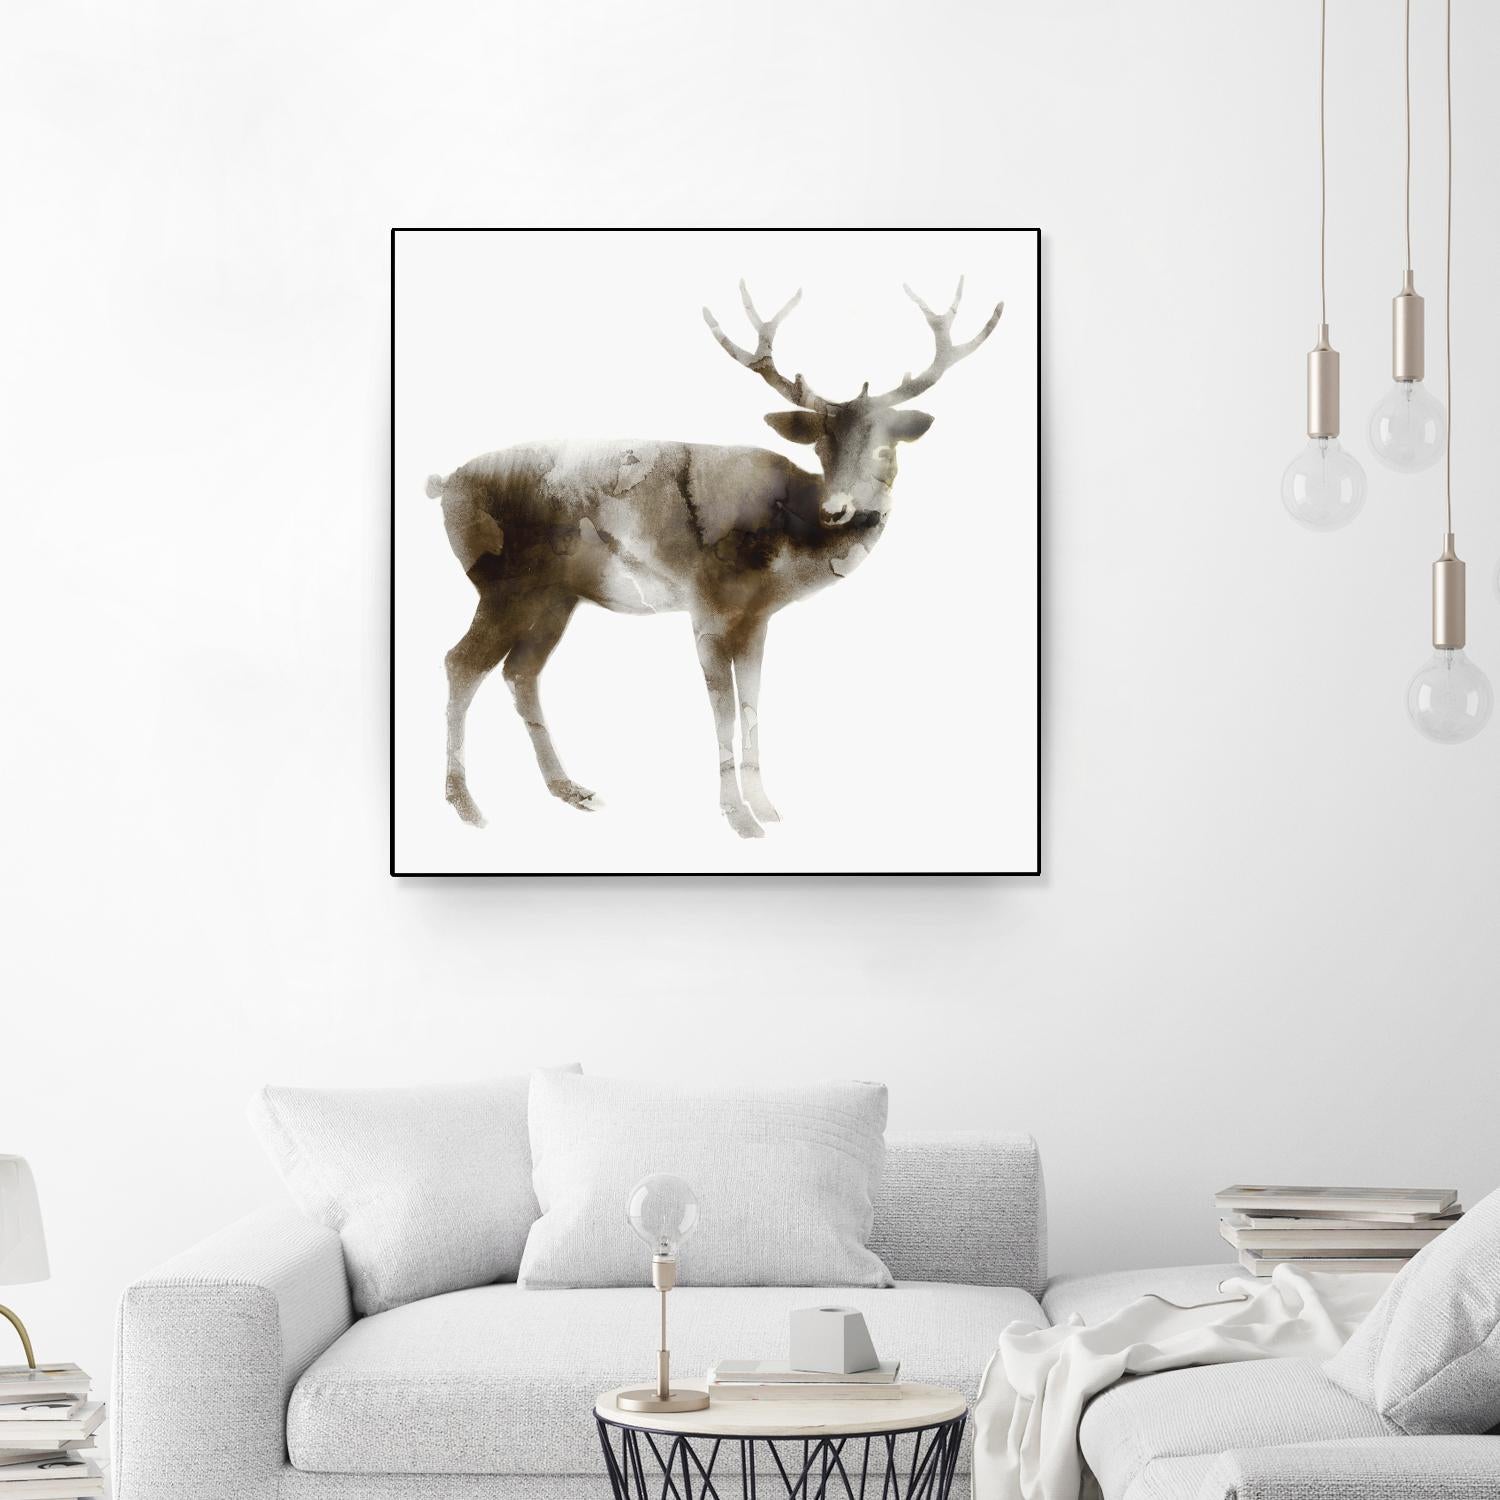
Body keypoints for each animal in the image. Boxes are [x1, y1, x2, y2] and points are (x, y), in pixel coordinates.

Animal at [427, 278, 1003, 839]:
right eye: (820, 446)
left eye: (886, 447)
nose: (838, 509)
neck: (785, 550)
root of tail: (444, 484)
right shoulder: (705, 606)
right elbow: (722, 709)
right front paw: (738, 817)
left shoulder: (757, 618)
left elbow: (751, 703)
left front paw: (766, 807)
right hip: (502, 584)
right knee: (461, 663)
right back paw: (466, 805)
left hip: (555, 596)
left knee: (521, 672)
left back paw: (570, 789)